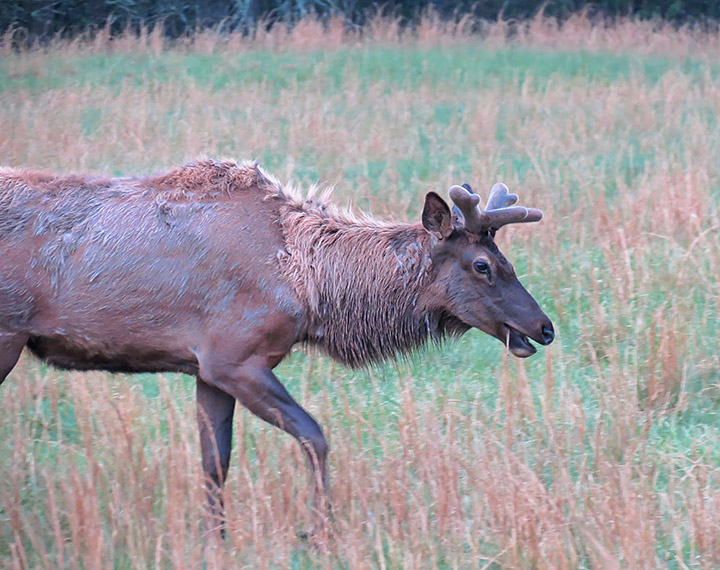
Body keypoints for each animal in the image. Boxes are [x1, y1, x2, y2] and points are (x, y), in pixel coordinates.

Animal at [0, 159, 556, 532]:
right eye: (482, 265)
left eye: (505, 261)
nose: (545, 327)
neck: (311, 288)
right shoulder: (234, 357)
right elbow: (315, 436)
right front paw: (320, 531)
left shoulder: (206, 368)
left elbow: (215, 465)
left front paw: (217, 540)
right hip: (8, 332)